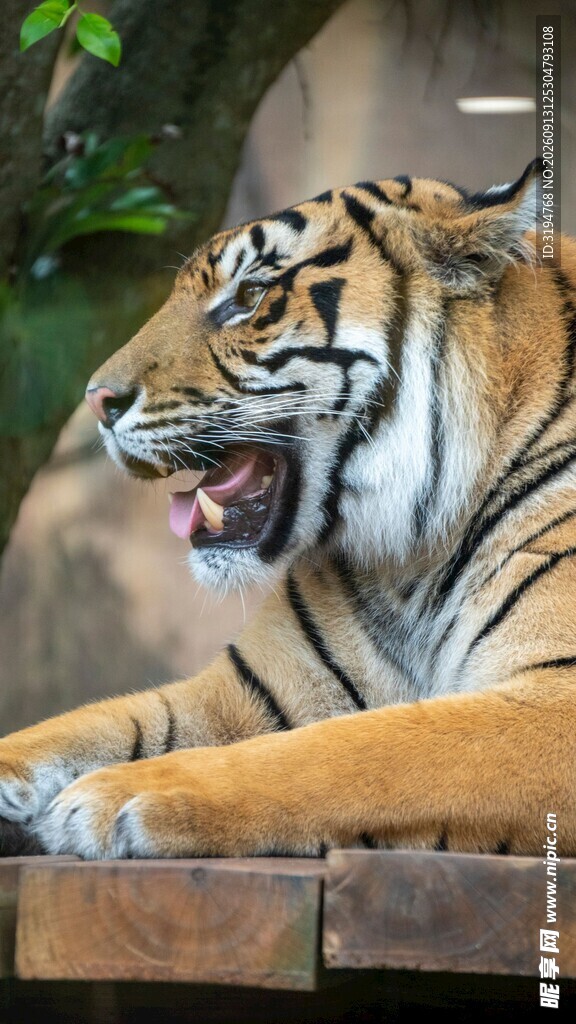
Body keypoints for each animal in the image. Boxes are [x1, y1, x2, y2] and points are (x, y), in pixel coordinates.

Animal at [0, 158, 575, 861]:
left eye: (249, 296)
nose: (96, 400)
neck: (411, 557)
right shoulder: (245, 689)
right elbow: (82, 724)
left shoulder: (556, 696)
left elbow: (348, 750)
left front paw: (114, 795)